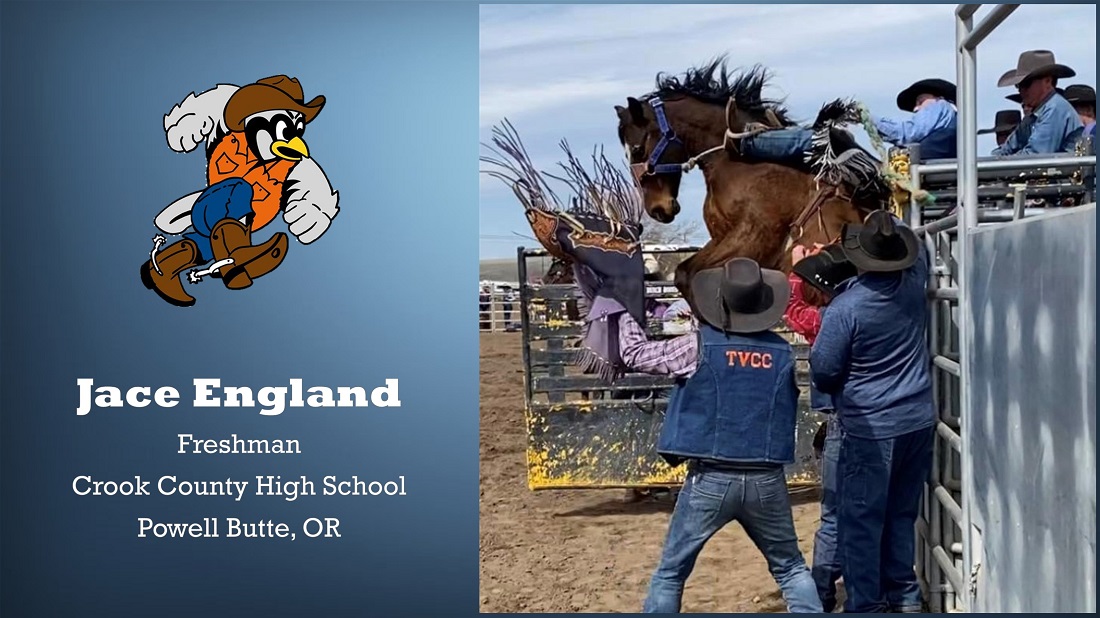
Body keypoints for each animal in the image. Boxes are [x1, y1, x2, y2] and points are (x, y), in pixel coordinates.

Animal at [616, 56, 888, 301]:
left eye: (637, 149)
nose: (657, 209)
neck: (736, 160)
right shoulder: (722, 237)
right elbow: (688, 274)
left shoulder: (754, 236)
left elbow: (692, 274)